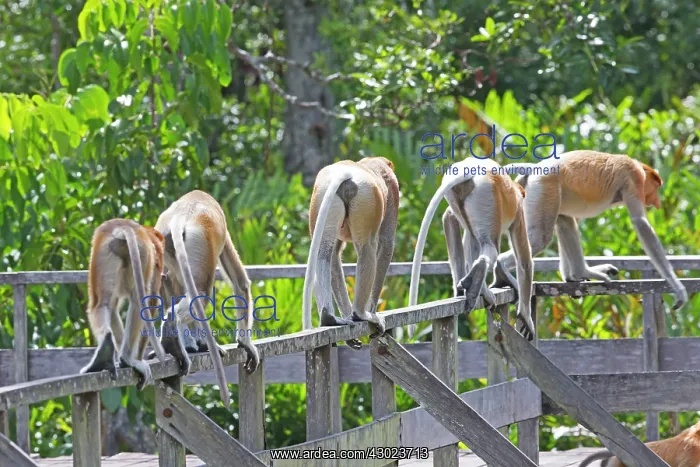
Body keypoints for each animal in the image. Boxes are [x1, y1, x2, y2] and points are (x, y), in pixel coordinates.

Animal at [80, 219, 167, 390]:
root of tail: (123, 227)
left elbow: (112, 308)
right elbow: (151, 301)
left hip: (104, 252)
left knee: (101, 303)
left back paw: (105, 355)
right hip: (142, 253)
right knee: (138, 301)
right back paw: (128, 359)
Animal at [155, 190, 260, 408]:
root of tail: (180, 216)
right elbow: (240, 283)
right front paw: (246, 344)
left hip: (167, 245)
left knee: (172, 284)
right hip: (201, 242)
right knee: (201, 295)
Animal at [302, 156, 399, 349]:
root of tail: (344, 173)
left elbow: (334, 255)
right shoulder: (392, 187)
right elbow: (386, 244)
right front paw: (371, 312)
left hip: (323, 199)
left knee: (325, 253)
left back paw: (329, 318)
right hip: (366, 201)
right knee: (367, 248)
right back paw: (362, 314)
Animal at [408, 157, 535, 340]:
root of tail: (467, 171)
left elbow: (449, 218)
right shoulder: (518, 212)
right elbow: (524, 261)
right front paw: (526, 317)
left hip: (462, 199)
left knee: (471, 235)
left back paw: (474, 287)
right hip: (486, 197)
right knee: (490, 245)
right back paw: (480, 278)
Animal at [492, 150, 688, 311]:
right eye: (655, 187)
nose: (657, 202)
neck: (637, 165)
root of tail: (534, 169)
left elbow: (569, 221)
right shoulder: (633, 178)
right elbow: (641, 223)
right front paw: (679, 289)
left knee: (565, 222)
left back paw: (577, 274)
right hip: (545, 188)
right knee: (540, 238)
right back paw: (502, 267)